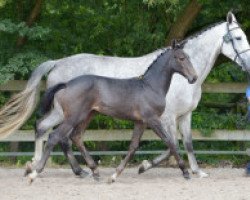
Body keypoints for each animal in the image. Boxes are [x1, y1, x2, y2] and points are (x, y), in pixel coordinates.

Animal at [25, 40, 197, 183]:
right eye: (181, 58)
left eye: (189, 57)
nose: (194, 78)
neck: (150, 87)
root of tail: (66, 84)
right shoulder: (152, 119)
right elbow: (170, 142)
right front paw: (185, 172)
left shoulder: (140, 122)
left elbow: (133, 147)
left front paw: (114, 175)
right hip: (73, 117)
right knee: (55, 136)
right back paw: (35, 172)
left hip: (87, 116)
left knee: (75, 137)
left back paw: (94, 172)